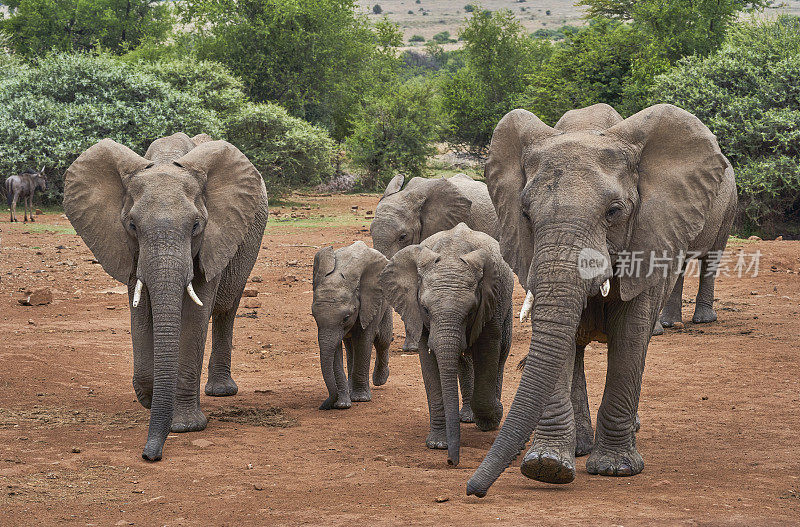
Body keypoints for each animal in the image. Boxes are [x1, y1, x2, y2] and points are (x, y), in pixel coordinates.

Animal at [63, 132, 268, 462]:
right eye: (132, 226)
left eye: (196, 225)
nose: (150, 455)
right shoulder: (127, 248)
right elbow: (140, 314)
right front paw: (150, 398)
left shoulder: (212, 239)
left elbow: (195, 317)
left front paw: (184, 426)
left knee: (227, 307)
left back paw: (221, 391)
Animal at [310, 241, 392, 410]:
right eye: (314, 316)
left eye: (346, 317)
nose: (323, 406)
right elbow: (335, 349)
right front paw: (342, 404)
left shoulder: (369, 302)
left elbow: (364, 341)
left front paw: (360, 399)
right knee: (350, 346)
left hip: (384, 300)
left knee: (383, 340)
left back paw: (380, 380)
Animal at [380, 223, 516, 466]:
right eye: (425, 309)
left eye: (470, 311)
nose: (452, 461)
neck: (452, 253)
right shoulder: (419, 315)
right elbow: (429, 364)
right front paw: (437, 444)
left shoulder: (492, 300)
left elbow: (489, 349)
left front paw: (493, 418)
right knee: (463, 361)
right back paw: (466, 417)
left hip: (507, 305)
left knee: (501, 352)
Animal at [466, 105, 736, 498]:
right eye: (526, 214)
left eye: (614, 211)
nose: (474, 490)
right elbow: (559, 341)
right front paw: (546, 467)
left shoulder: (649, 237)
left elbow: (630, 338)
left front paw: (615, 469)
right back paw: (579, 447)